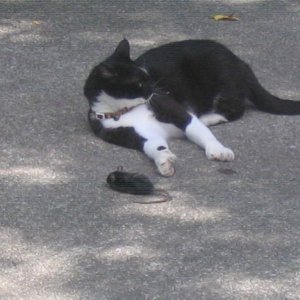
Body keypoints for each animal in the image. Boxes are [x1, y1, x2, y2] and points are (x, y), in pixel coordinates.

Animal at [84, 39, 300, 176]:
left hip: (221, 76)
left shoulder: (172, 109)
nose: (155, 88)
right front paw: (164, 161)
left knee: (236, 109)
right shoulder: (130, 134)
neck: (125, 111)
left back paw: (209, 117)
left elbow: (197, 129)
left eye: (148, 77)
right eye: (139, 83)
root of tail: (241, 62)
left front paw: (218, 150)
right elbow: (154, 145)